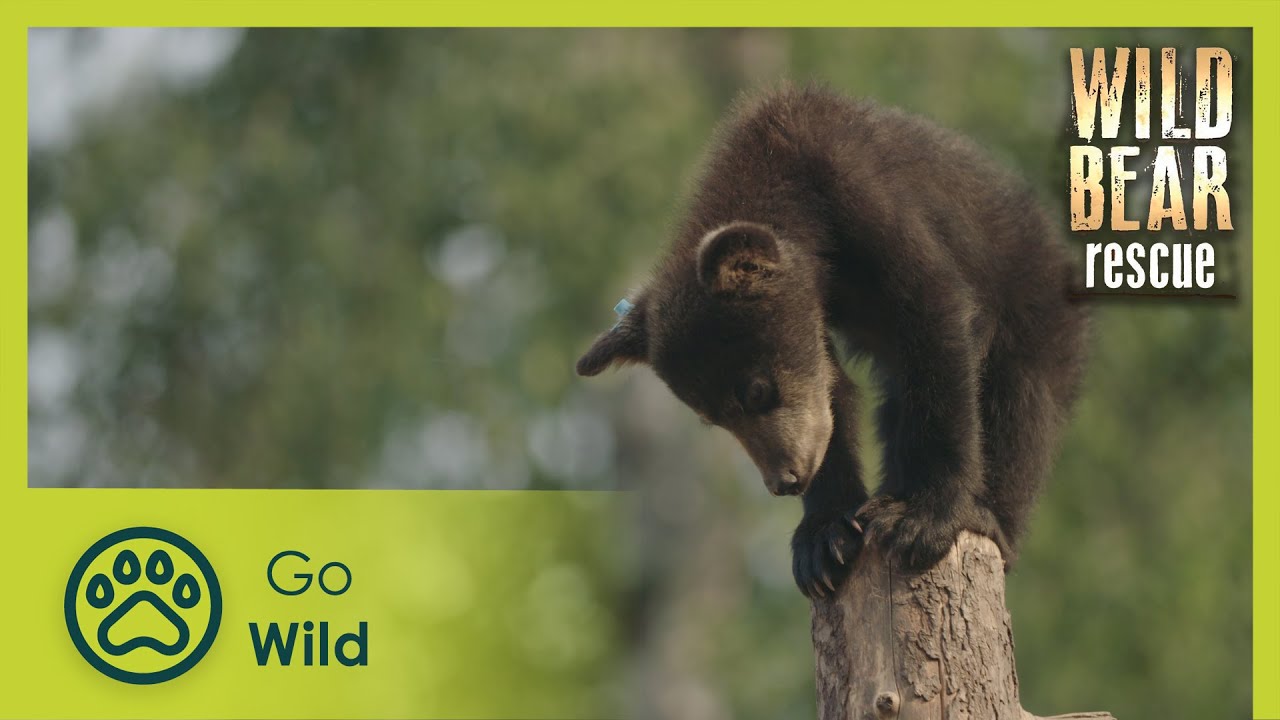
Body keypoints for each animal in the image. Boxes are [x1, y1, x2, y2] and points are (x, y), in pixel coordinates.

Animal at [576, 85, 1089, 599]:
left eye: (756, 391)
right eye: (712, 418)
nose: (785, 480)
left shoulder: (868, 197)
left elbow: (936, 317)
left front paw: (923, 519)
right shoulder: (814, 310)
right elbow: (829, 388)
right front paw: (824, 541)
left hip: (1033, 302)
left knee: (1021, 403)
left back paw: (988, 517)